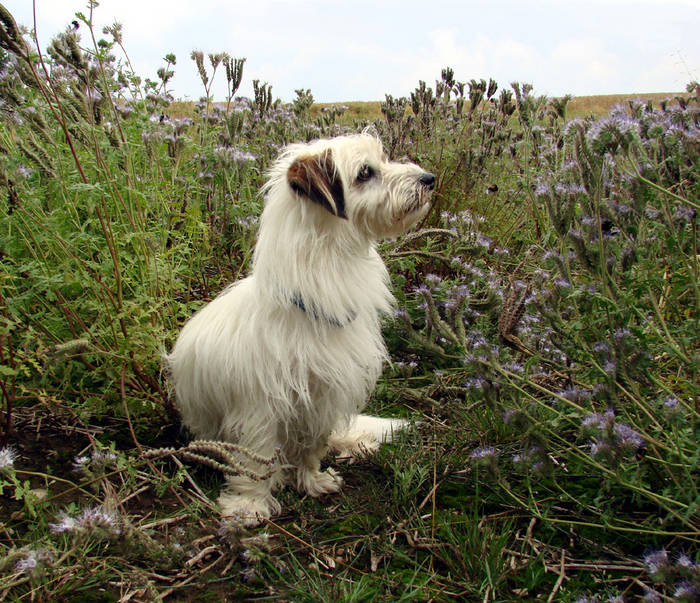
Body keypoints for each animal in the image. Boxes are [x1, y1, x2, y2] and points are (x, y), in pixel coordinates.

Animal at [167, 132, 434, 524]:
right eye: (365, 172)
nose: (428, 178)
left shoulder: (323, 395)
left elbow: (313, 445)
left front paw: (310, 480)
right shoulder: (261, 406)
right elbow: (256, 459)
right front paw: (250, 503)